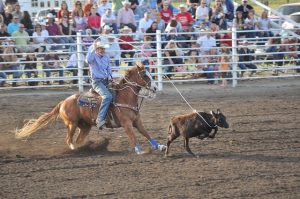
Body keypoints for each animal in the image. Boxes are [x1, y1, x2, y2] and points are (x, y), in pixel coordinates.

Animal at [15, 63, 166, 155]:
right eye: (145, 75)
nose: (155, 88)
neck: (124, 98)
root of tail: (63, 102)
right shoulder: (126, 124)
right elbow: (133, 136)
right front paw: (140, 151)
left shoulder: (137, 122)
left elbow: (146, 133)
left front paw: (159, 146)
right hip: (72, 124)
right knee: (69, 140)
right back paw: (75, 150)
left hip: (85, 126)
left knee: (77, 140)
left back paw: (84, 148)